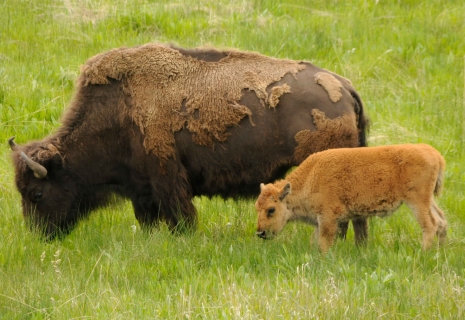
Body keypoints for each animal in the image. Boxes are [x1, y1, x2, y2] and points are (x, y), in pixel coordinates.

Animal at [9, 42, 368, 239]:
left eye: (37, 193)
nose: (38, 235)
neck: (117, 111)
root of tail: (344, 86)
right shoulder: (142, 190)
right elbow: (149, 220)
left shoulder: (167, 179)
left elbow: (180, 217)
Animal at [256, 144, 448, 252]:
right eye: (257, 207)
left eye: (271, 209)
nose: (260, 232)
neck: (310, 177)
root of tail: (436, 155)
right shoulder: (320, 220)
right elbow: (315, 240)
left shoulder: (328, 218)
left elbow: (323, 242)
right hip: (428, 200)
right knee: (441, 220)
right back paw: (440, 252)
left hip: (417, 201)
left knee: (430, 225)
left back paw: (423, 253)